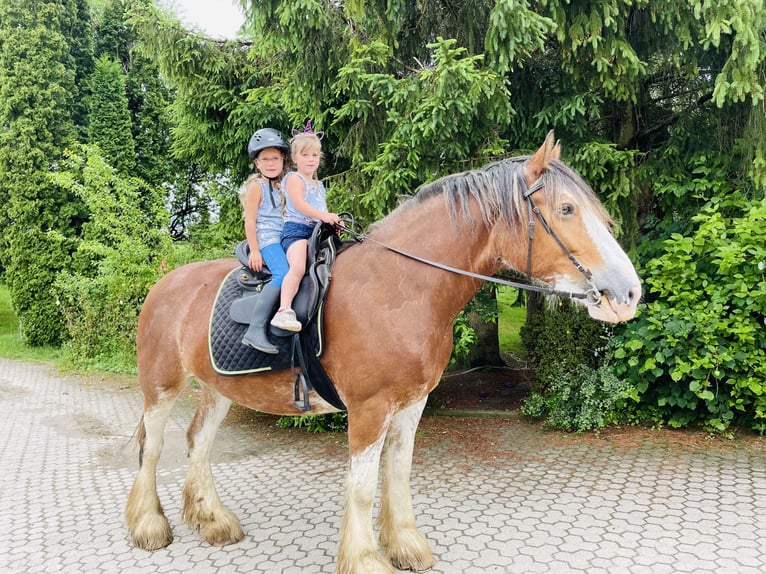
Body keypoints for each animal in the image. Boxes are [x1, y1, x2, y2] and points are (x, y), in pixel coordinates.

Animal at [127, 134, 640, 574]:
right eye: (567, 209)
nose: (628, 294)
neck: (400, 287)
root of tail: (164, 283)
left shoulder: (412, 404)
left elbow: (398, 473)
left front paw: (405, 544)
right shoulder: (369, 408)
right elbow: (361, 487)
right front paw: (366, 558)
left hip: (217, 387)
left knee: (198, 441)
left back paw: (212, 520)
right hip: (160, 385)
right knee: (153, 447)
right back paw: (149, 525)